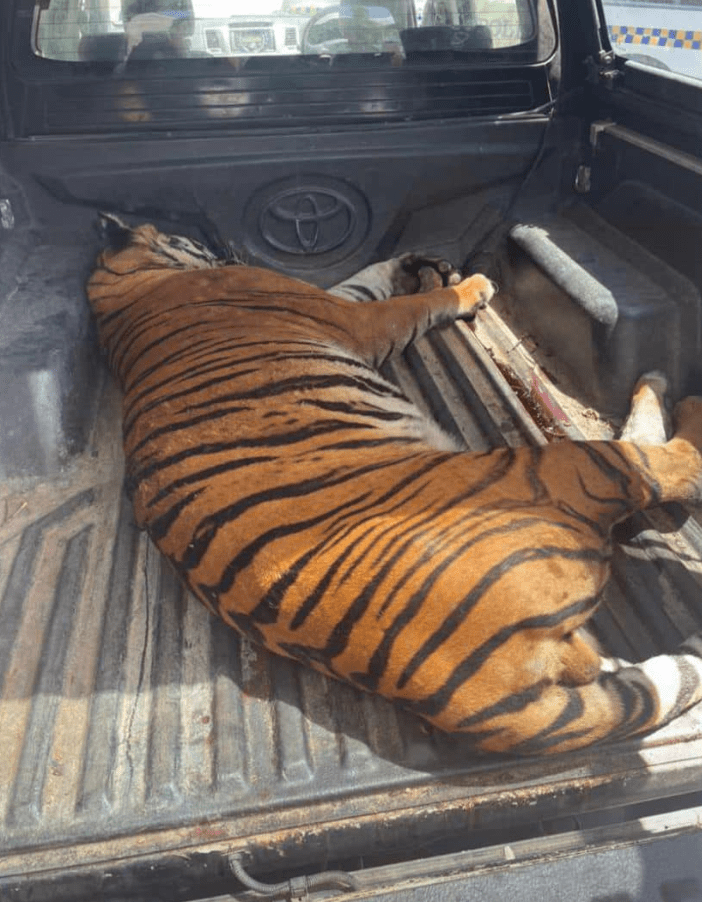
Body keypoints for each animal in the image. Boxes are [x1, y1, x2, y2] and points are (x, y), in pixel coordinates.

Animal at [86, 212, 702, 755]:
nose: (223, 244)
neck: (120, 291)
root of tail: (462, 693)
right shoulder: (351, 318)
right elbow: (416, 304)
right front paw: (470, 286)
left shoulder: (342, 303)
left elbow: (369, 277)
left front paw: (414, 261)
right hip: (563, 468)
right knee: (668, 465)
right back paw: (669, 392)